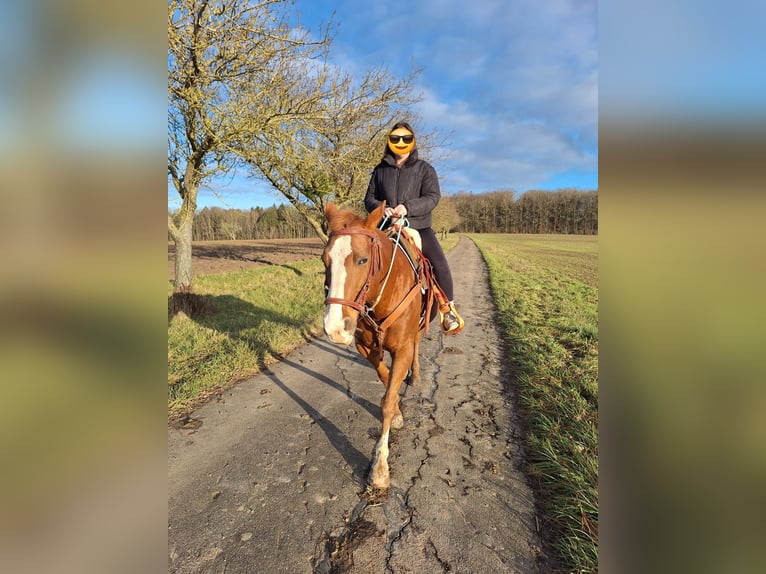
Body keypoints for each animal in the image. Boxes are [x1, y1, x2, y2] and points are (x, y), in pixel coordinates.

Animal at [320, 202, 436, 490]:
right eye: (324, 259)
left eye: (362, 260)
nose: (335, 328)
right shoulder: (367, 349)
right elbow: (386, 381)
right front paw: (397, 415)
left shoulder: (403, 349)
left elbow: (387, 399)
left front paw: (380, 467)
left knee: (418, 344)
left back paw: (415, 375)